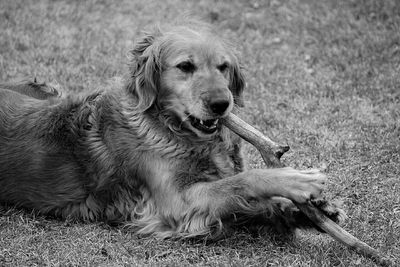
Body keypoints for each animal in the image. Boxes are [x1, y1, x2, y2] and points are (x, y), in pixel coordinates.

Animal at [0, 19, 344, 240]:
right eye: (185, 67)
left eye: (223, 67)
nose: (221, 104)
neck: (170, 129)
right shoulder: (174, 204)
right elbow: (241, 182)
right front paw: (294, 181)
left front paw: (313, 208)